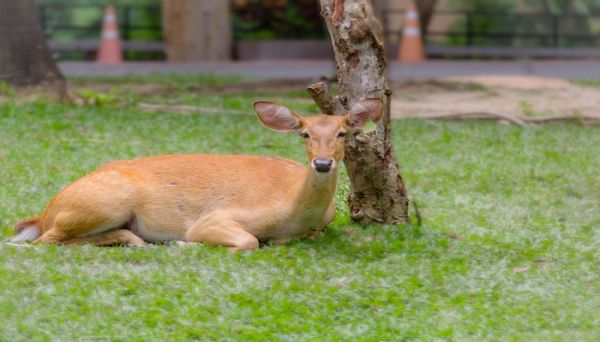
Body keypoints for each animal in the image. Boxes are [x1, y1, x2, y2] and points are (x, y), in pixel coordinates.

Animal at [9, 97, 382, 250]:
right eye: (304, 133)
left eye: (342, 133)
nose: (322, 163)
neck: (293, 208)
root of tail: (46, 212)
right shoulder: (215, 217)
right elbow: (247, 241)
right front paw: (185, 244)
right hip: (105, 201)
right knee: (47, 240)